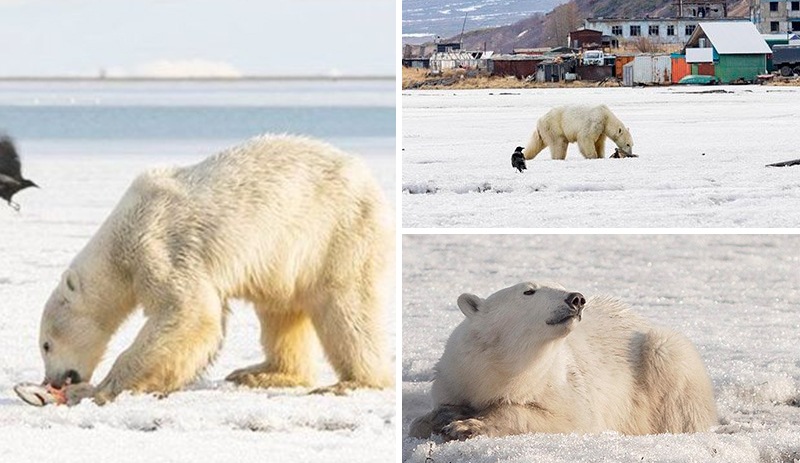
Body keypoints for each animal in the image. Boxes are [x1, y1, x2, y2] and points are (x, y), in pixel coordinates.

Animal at [37, 132, 394, 404]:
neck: (123, 234)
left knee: (346, 308)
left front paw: (99, 390)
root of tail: (368, 180)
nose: (50, 380)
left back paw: (352, 382)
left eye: (46, 344)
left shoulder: (161, 247)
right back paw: (260, 373)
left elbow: (187, 313)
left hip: (336, 233)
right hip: (287, 259)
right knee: (280, 311)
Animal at [410, 280, 716, 440]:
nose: (576, 298)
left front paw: (467, 425)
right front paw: (441, 417)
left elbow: (565, 418)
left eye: (560, 285)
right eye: (529, 290)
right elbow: (426, 417)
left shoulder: (560, 385)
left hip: (660, 355)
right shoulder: (456, 376)